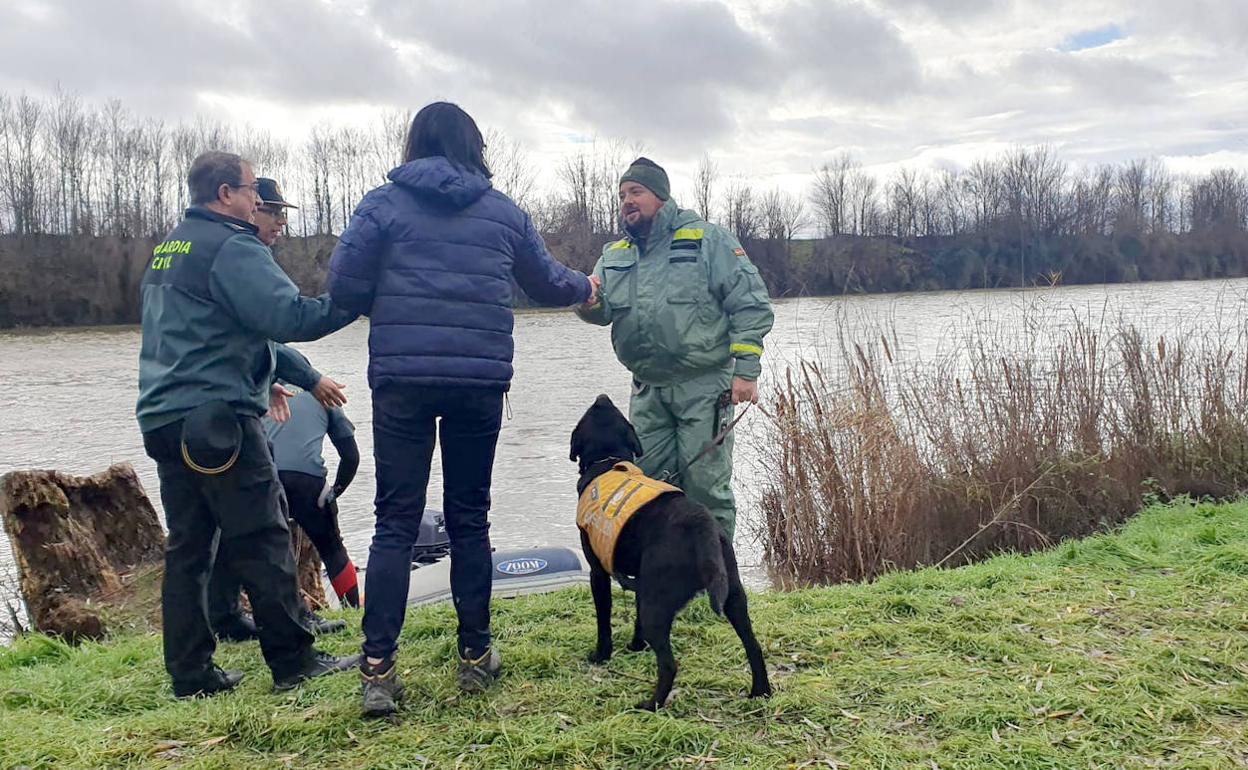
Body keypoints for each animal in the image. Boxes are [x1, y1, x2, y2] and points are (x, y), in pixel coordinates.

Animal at [571, 396, 768, 708]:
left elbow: (603, 620)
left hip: (657, 605)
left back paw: (649, 705)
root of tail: (701, 524)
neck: (609, 462)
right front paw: (636, 645)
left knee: (669, 664)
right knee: (754, 646)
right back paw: (761, 691)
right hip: (734, 596)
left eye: (591, 412)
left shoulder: (598, 573)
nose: (602, 397)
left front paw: (601, 655)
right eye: (606, 410)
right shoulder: (640, 581)